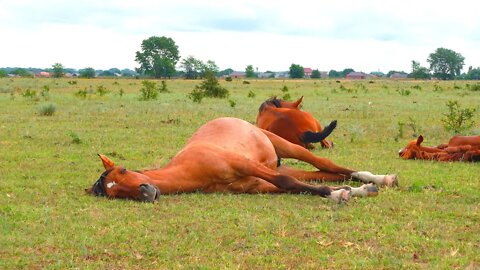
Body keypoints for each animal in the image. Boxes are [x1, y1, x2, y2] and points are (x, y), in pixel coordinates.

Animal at [85, 117, 398, 204]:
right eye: (113, 192)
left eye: (124, 169)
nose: (147, 191)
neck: (193, 169)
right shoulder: (255, 185)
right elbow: (294, 186)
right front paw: (340, 194)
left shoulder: (246, 166)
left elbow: (286, 181)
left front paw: (338, 195)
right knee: (325, 173)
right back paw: (363, 186)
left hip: (288, 149)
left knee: (330, 165)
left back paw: (380, 178)